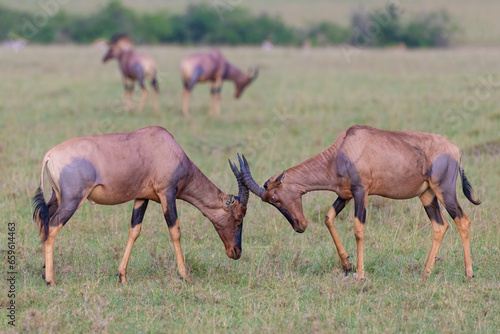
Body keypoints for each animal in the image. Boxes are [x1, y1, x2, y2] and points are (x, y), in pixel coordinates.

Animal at [32, 125, 249, 284]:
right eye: (239, 216)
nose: (236, 252)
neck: (166, 146)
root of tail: (50, 155)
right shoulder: (166, 193)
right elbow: (175, 231)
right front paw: (185, 276)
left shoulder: (141, 197)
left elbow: (134, 231)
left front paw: (122, 276)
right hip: (72, 200)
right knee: (52, 228)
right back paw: (51, 280)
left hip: (57, 198)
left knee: (42, 222)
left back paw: (44, 272)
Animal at [237, 124, 480, 280]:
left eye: (274, 198)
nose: (299, 226)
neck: (344, 148)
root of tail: (456, 151)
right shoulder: (346, 194)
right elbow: (328, 218)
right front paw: (346, 265)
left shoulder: (361, 192)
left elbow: (358, 229)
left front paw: (360, 274)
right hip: (427, 194)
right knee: (440, 226)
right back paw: (425, 274)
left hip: (444, 191)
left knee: (463, 221)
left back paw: (468, 274)